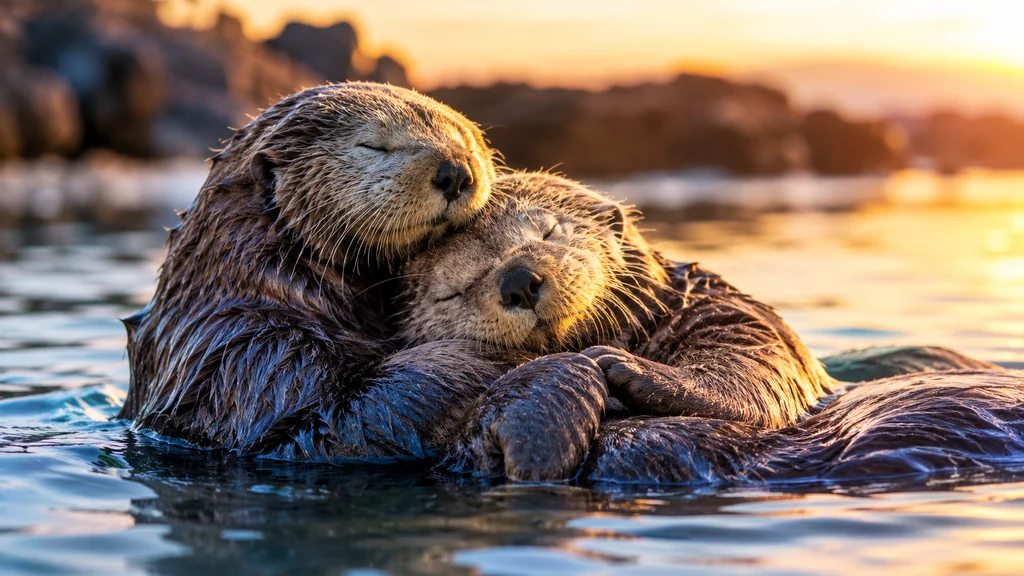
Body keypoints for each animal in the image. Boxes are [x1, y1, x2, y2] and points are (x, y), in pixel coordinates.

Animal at [120, 83, 517, 460]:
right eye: (373, 145)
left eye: (466, 141)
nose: (455, 170)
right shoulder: (247, 355)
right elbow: (330, 424)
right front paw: (490, 357)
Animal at [399, 172, 1008, 483]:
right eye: (454, 289)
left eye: (548, 231)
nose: (520, 280)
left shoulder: (733, 314)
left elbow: (748, 367)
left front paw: (624, 367)